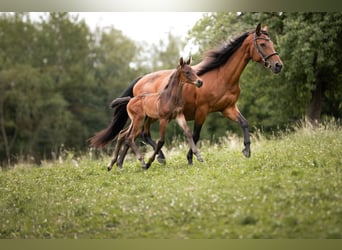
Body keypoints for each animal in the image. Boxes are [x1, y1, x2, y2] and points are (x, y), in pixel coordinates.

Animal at [90, 23, 284, 164]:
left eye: (272, 43)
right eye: (262, 44)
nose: (278, 66)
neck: (221, 76)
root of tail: (140, 80)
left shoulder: (228, 108)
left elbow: (244, 123)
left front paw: (246, 150)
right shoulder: (202, 110)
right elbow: (195, 134)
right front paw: (191, 158)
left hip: (145, 118)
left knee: (129, 135)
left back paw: (121, 163)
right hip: (147, 117)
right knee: (139, 134)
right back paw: (157, 158)